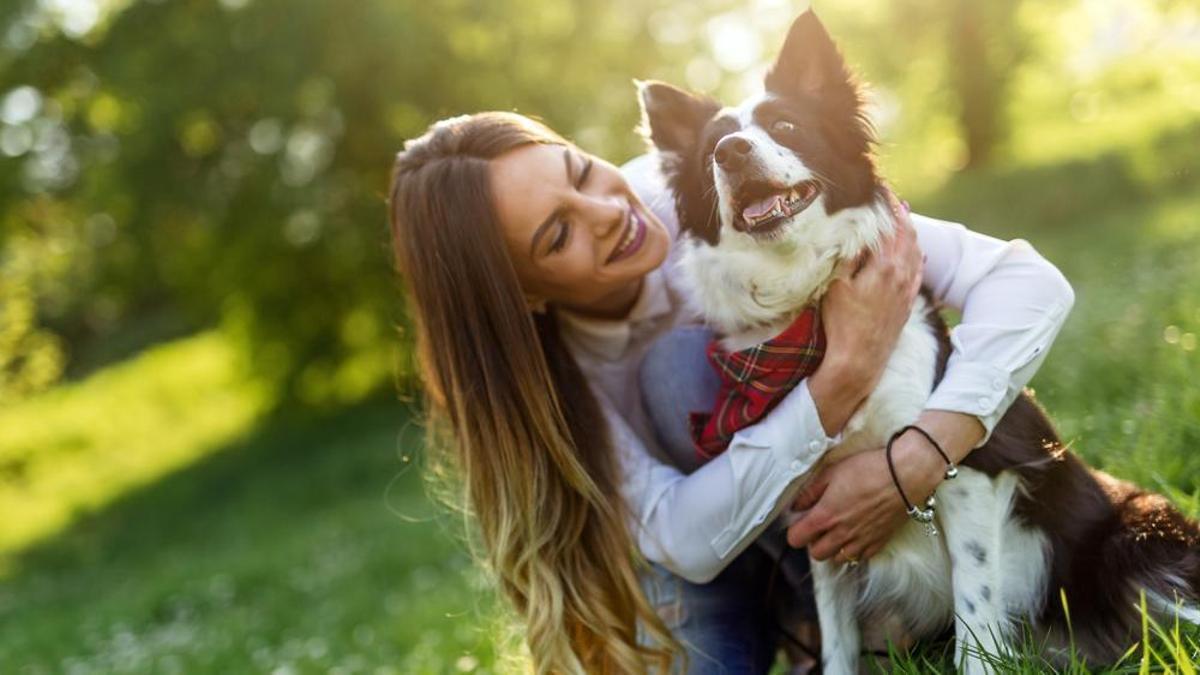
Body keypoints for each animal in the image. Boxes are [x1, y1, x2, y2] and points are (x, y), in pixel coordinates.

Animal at [638, 10, 1200, 672]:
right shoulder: (814, 514)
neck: (811, 312)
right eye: (709, 153)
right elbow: (837, 638)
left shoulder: (970, 479)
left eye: (785, 126)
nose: (730, 152)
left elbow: (976, 620)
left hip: (1137, 542)